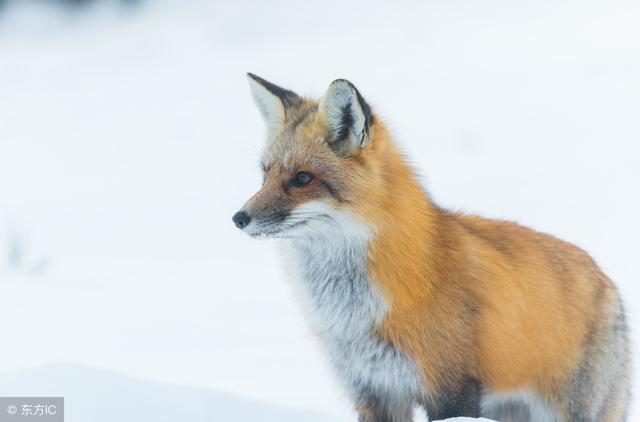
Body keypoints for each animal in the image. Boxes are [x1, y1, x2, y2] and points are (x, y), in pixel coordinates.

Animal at [232, 74, 628, 420]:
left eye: (303, 178)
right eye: (265, 174)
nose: (238, 218)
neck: (355, 311)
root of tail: (607, 280)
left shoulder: (451, 388)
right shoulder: (375, 391)